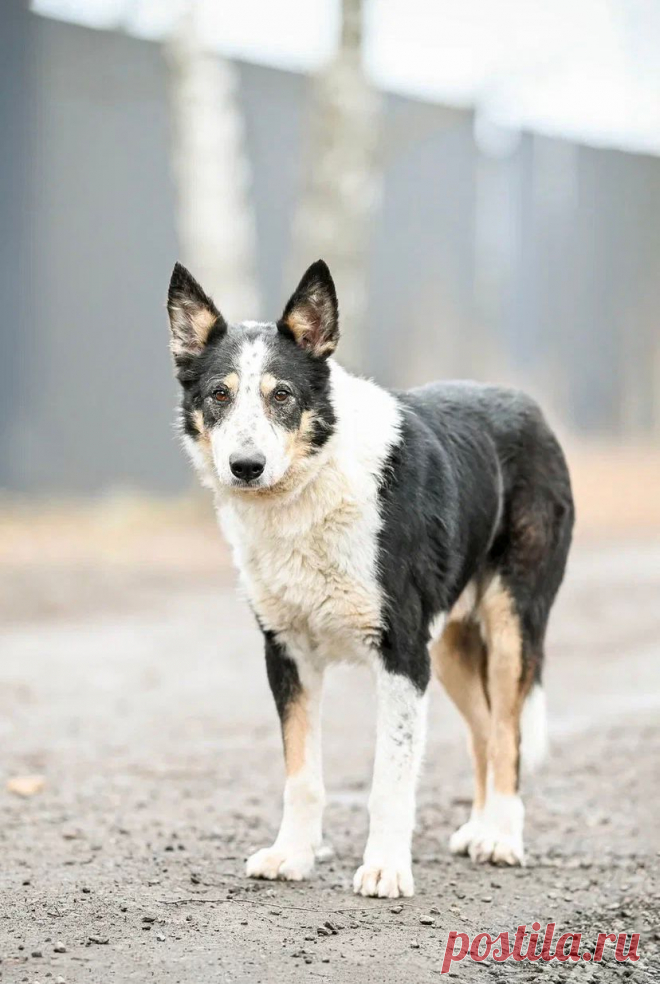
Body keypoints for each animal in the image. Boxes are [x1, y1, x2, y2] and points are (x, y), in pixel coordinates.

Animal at [168, 260, 576, 900]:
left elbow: (390, 780)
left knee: (508, 733)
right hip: (451, 650)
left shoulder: (402, 657)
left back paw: (503, 838)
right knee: (485, 730)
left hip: (510, 628)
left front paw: (385, 868)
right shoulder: (288, 654)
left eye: (282, 395)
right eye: (219, 395)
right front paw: (292, 855)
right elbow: (301, 775)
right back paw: (480, 828)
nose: (245, 468)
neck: (311, 490)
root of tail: (529, 407)